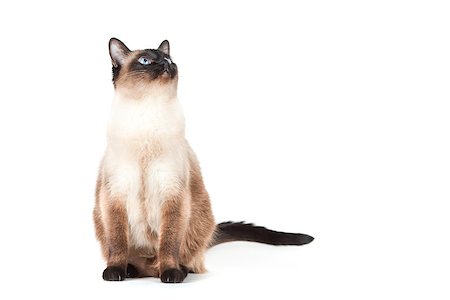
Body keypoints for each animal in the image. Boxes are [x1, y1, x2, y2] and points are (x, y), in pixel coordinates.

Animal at [93, 38, 314, 284]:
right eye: (145, 61)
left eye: (168, 58)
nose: (166, 63)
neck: (147, 114)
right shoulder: (115, 194)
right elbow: (117, 243)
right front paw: (115, 271)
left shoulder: (172, 193)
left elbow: (169, 243)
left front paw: (170, 273)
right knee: (137, 262)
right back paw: (130, 270)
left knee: (184, 259)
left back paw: (176, 270)